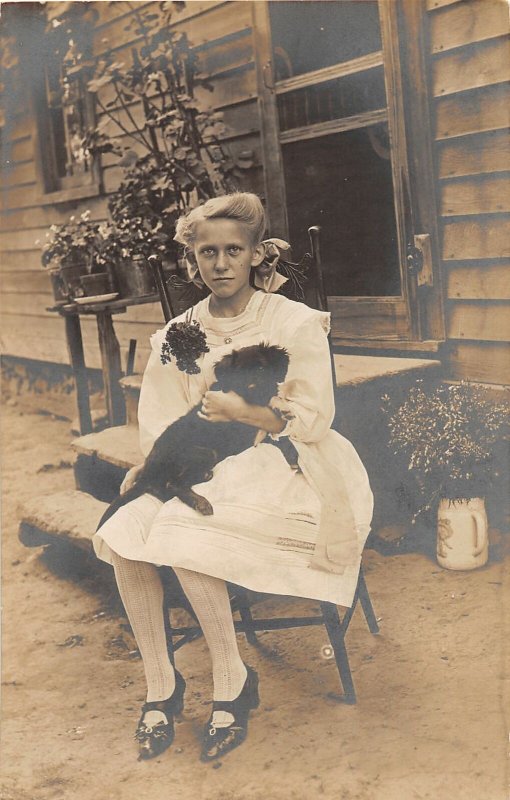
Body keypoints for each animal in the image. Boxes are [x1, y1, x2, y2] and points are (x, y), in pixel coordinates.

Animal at [97, 340, 296, 528]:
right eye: (239, 374)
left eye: (262, 368)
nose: (254, 388)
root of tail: (146, 474)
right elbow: (276, 439)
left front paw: (281, 406)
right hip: (205, 453)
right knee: (172, 485)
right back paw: (200, 501)